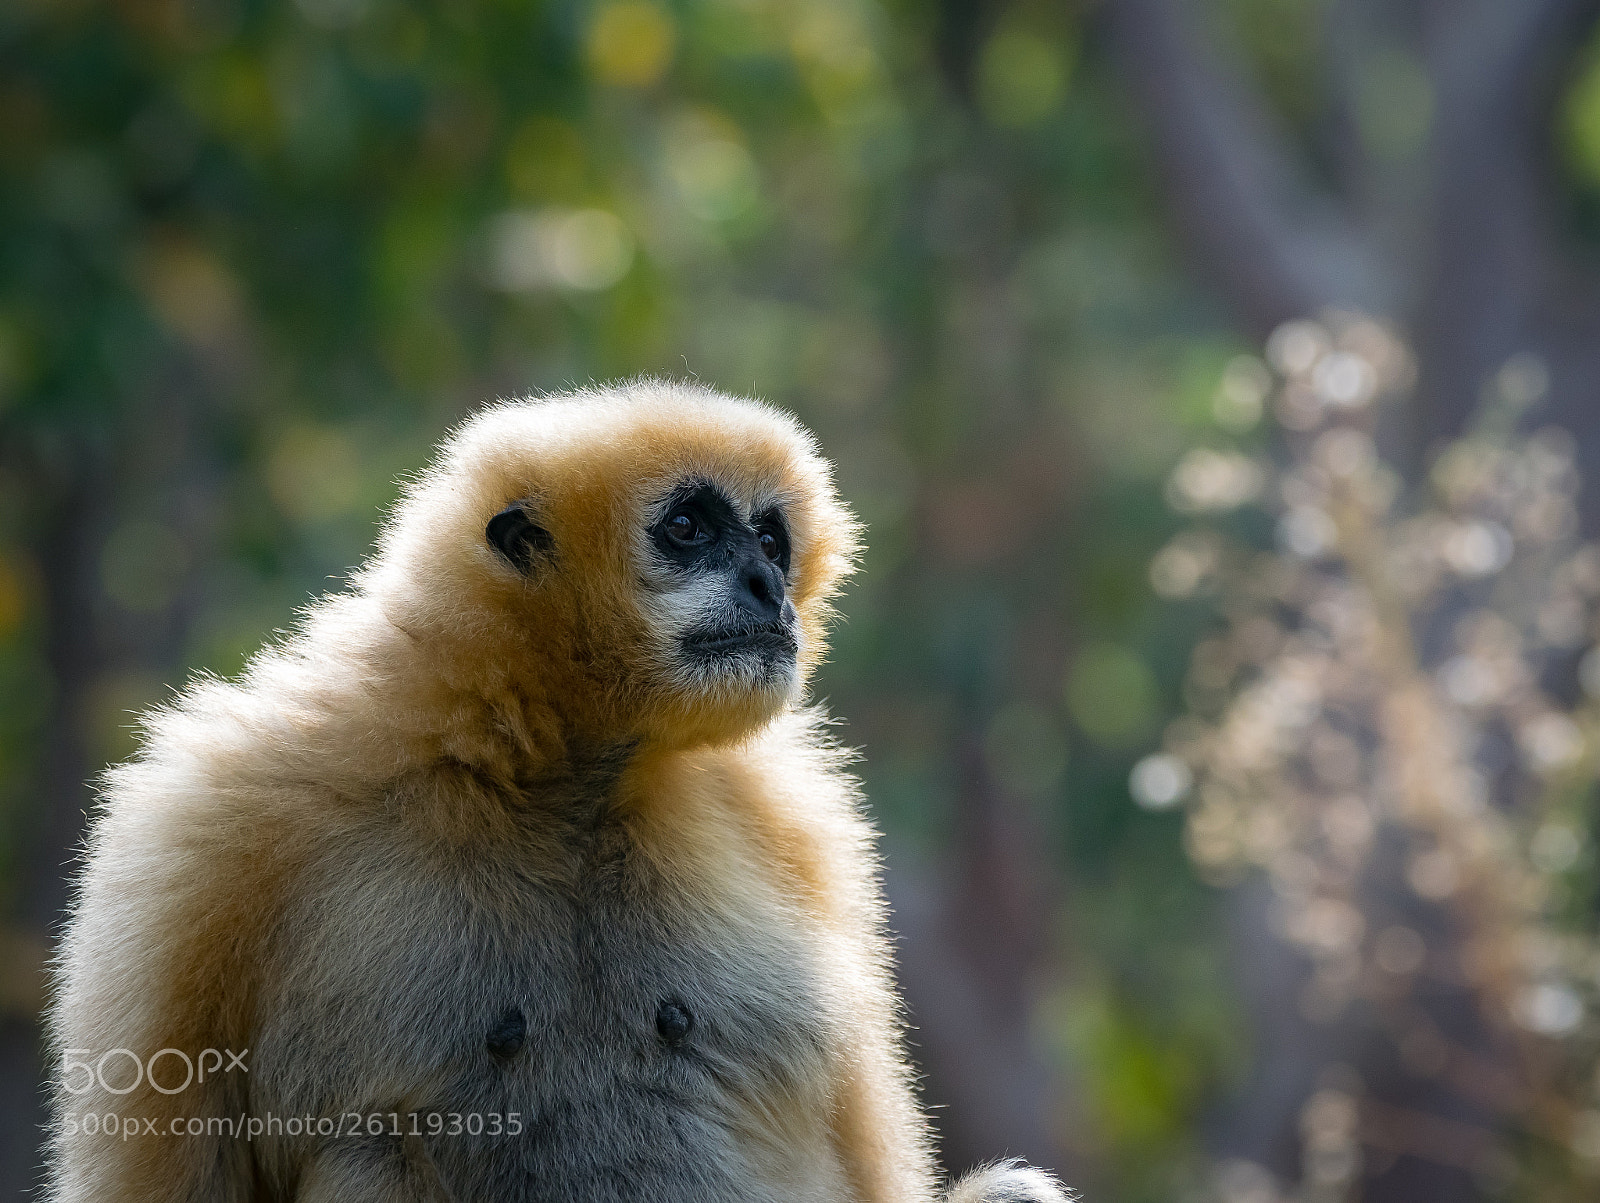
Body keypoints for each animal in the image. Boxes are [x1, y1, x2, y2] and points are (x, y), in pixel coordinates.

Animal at [45, 380, 1071, 1203]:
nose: (766, 583)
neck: (542, 769)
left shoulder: (796, 820)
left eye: (773, 537)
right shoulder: (209, 833)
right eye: (689, 527)